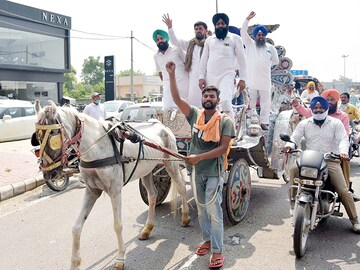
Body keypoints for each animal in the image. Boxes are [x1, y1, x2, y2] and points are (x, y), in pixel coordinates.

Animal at [34, 102, 191, 270]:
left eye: (54, 133)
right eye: (37, 136)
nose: (49, 174)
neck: (96, 149)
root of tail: (162, 125)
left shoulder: (115, 191)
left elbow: (117, 225)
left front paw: (120, 257)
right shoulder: (91, 191)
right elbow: (76, 227)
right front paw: (75, 263)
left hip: (171, 162)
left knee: (181, 186)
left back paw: (185, 217)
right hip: (147, 171)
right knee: (153, 194)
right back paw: (147, 228)